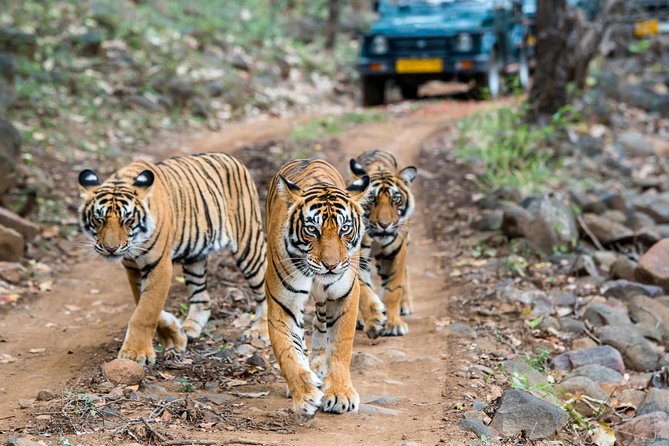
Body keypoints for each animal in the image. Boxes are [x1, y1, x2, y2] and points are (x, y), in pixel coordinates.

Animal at [78, 153, 268, 366]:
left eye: (128, 220)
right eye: (99, 219)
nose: (111, 249)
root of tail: (231, 158)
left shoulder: (159, 265)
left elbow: (146, 310)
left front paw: (136, 353)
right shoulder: (133, 268)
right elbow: (142, 302)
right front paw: (174, 335)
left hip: (249, 244)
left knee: (264, 288)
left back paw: (260, 330)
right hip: (195, 258)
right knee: (202, 297)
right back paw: (190, 328)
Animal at [265, 159, 370, 417]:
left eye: (345, 229)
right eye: (312, 229)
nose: (331, 265)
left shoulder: (345, 296)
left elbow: (341, 346)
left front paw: (340, 394)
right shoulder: (283, 304)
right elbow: (288, 352)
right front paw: (304, 395)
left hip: (325, 299)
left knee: (321, 324)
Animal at [350, 149, 417, 336]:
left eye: (396, 199)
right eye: (372, 199)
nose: (385, 225)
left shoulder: (395, 253)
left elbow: (393, 289)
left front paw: (394, 324)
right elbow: (363, 291)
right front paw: (374, 320)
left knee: (406, 272)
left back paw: (405, 305)